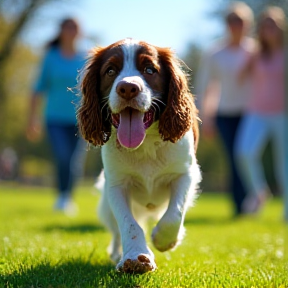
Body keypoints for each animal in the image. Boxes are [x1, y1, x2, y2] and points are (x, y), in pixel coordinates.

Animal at [77, 38, 201, 274]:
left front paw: (164, 240)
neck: (145, 146)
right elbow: (129, 224)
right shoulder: (116, 185)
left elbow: (175, 213)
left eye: (150, 70)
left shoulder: (185, 174)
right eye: (110, 70)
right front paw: (136, 257)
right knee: (116, 229)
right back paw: (117, 253)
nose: (128, 88)